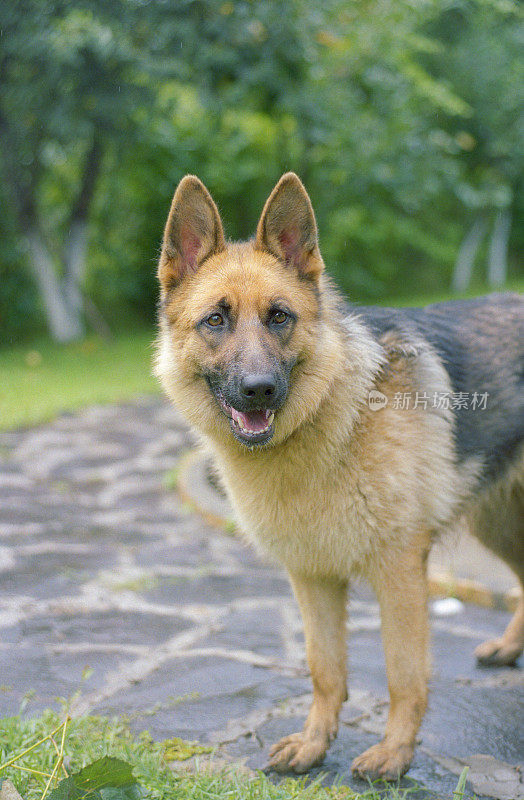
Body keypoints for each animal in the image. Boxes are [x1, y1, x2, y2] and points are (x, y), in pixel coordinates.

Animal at [157, 172, 524, 780]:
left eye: (279, 316)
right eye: (216, 320)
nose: (259, 390)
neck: (330, 424)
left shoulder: (400, 573)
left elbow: (404, 675)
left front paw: (395, 754)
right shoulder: (311, 576)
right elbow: (324, 669)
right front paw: (314, 744)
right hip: (497, 525)